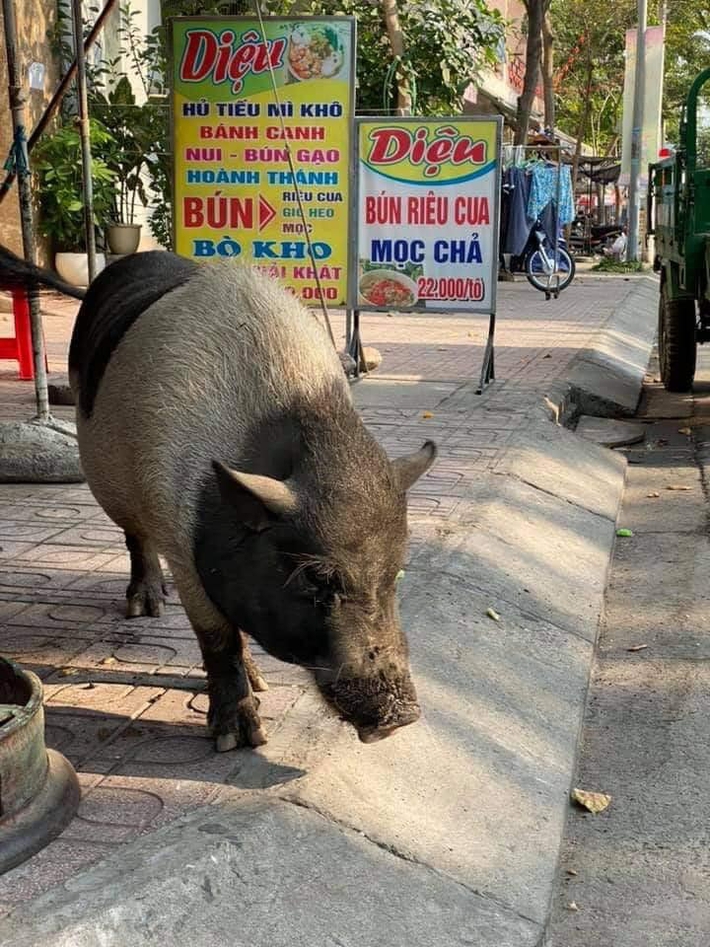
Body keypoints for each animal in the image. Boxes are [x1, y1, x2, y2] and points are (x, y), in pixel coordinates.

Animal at [2, 248, 436, 752]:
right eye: (314, 578)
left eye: (397, 572)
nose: (402, 716)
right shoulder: (179, 538)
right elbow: (217, 634)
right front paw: (241, 739)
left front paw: (260, 687)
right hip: (107, 480)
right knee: (135, 536)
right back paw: (147, 607)